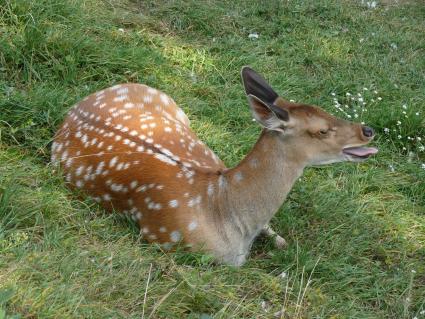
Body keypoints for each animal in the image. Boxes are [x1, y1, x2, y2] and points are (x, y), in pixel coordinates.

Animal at [51, 68, 376, 268]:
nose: (368, 130)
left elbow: (281, 240)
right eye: (322, 130)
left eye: (327, 110)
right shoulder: (167, 238)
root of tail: (77, 107)